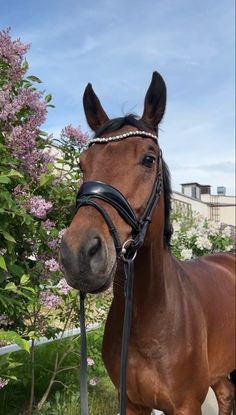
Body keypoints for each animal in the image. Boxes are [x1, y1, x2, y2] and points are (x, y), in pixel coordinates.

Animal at [60, 72, 235, 415]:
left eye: (148, 159)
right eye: (82, 164)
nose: (79, 254)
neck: (150, 318)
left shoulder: (186, 407)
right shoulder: (131, 403)